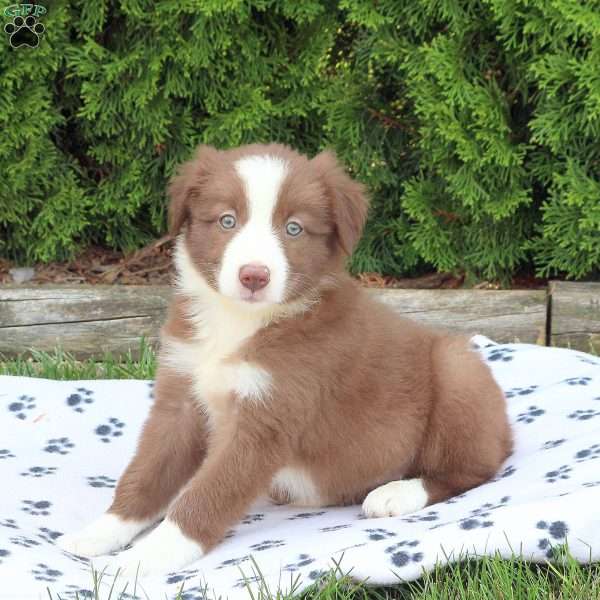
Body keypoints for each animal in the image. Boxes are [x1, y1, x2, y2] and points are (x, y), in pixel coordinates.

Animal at [57, 144, 510, 576]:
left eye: (294, 228)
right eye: (227, 221)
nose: (254, 276)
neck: (238, 322)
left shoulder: (265, 422)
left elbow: (204, 496)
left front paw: (139, 561)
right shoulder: (180, 396)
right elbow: (146, 473)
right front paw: (101, 532)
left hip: (458, 372)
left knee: (475, 468)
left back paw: (395, 493)